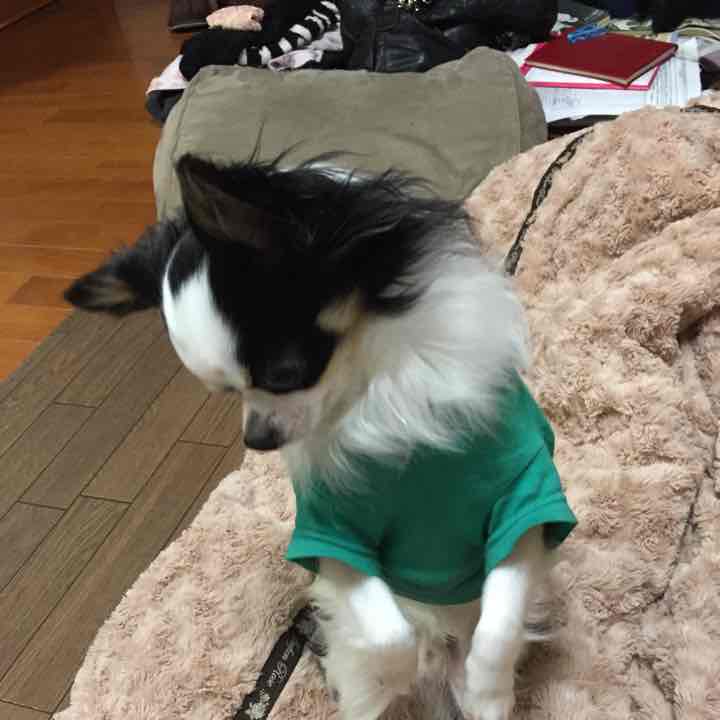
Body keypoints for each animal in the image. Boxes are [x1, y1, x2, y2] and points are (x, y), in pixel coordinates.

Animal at [65, 154, 576, 720]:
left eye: (284, 374)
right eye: (224, 393)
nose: (257, 439)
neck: (377, 392)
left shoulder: (524, 504)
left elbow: (498, 626)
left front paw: (487, 688)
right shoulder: (334, 538)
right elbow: (389, 634)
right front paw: (388, 674)